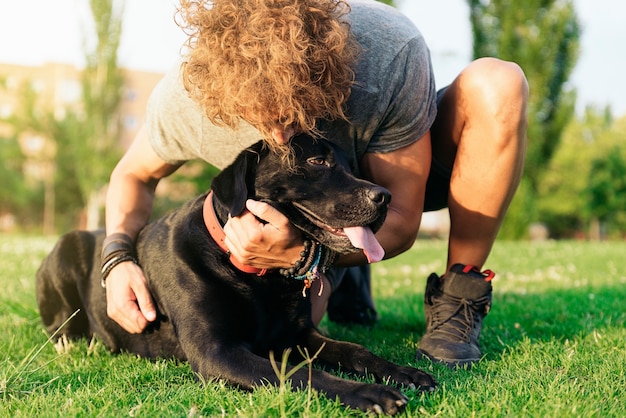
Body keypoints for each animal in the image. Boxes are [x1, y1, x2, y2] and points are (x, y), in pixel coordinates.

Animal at [35, 135, 434, 414]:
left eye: (351, 166)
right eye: (316, 160)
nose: (384, 196)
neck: (259, 277)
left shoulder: (298, 334)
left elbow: (356, 350)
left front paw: (403, 372)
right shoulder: (218, 351)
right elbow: (297, 373)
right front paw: (367, 392)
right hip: (64, 249)